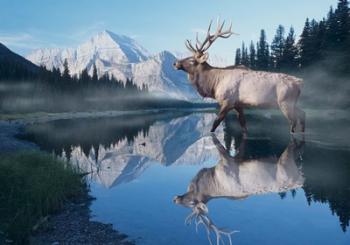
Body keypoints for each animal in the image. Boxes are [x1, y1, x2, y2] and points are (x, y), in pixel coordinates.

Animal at [174, 19, 304, 133]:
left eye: (192, 60)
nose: (175, 63)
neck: (214, 83)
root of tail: (299, 82)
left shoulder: (228, 101)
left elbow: (216, 123)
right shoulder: (238, 104)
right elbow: (243, 124)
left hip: (285, 102)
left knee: (294, 121)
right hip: (294, 102)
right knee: (303, 114)